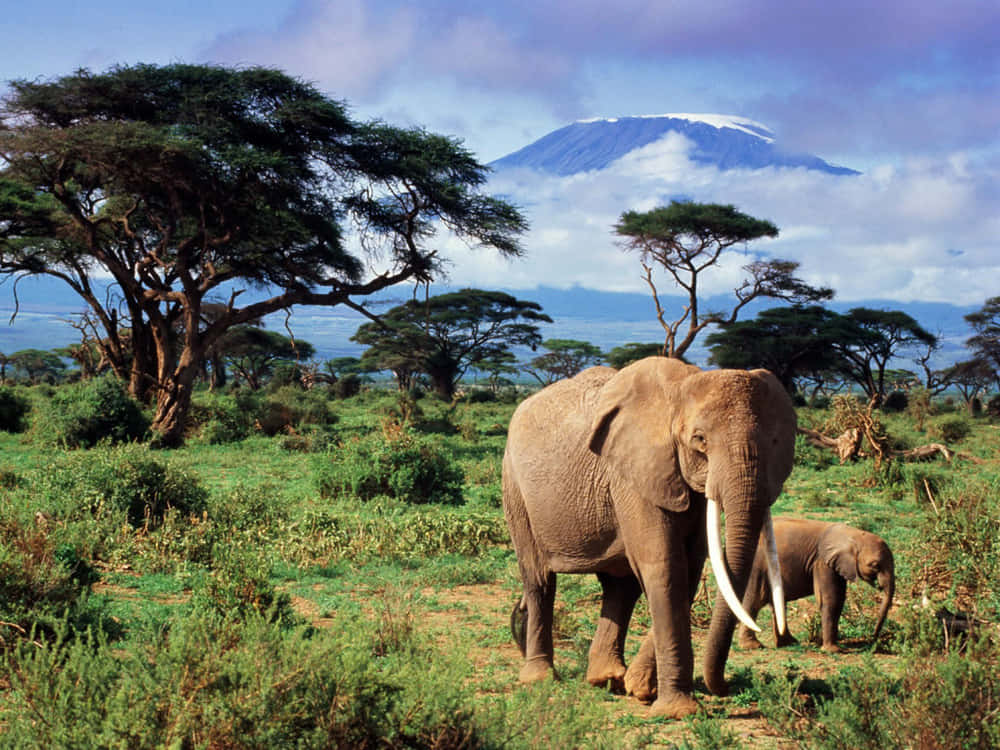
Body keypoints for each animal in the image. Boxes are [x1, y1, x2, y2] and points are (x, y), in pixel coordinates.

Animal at [502, 357, 797, 719]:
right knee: (540, 579)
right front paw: (677, 711)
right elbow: (666, 565)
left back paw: (606, 678)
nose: (725, 687)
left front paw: (641, 689)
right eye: (700, 440)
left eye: (775, 443)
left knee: (619, 586)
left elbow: (689, 567)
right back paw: (541, 678)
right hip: (514, 486)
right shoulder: (635, 472)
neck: (682, 388)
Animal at [736, 517, 895, 653]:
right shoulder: (822, 562)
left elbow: (839, 599)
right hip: (757, 567)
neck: (852, 534)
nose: (873, 639)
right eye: (874, 565)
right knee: (754, 601)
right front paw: (833, 650)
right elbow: (830, 599)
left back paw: (789, 643)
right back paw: (753, 646)